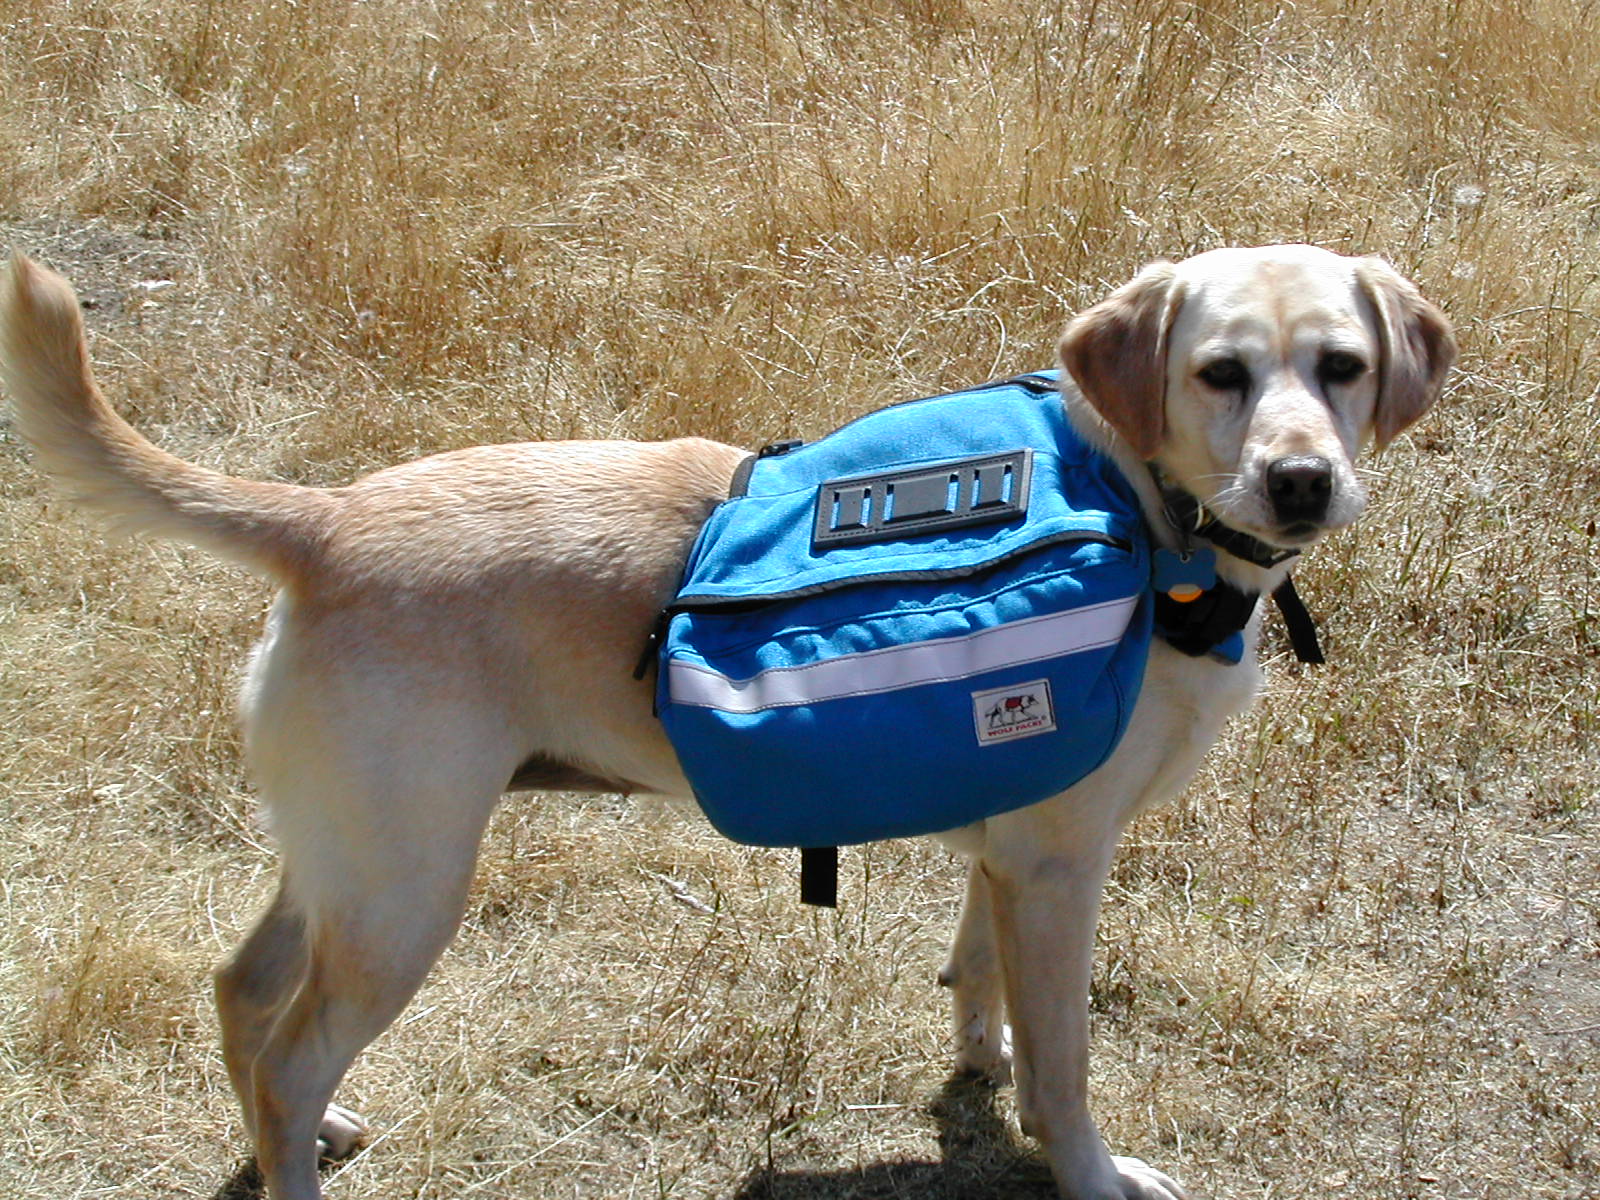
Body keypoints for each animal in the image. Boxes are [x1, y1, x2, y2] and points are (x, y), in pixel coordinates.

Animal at [0, 246, 1452, 1200]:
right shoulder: (1059, 864)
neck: (1147, 522)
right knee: (289, 1056)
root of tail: (326, 517)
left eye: (1340, 367)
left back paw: (302, 1136)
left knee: (245, 994)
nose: (1303, 479)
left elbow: (981, 984)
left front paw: (976, 1074)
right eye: (1219, 374)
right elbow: (1069, 1067)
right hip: (408, 897)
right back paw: (301, 1149)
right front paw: (1083, 1170)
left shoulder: (1009, 847)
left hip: (348, 867)